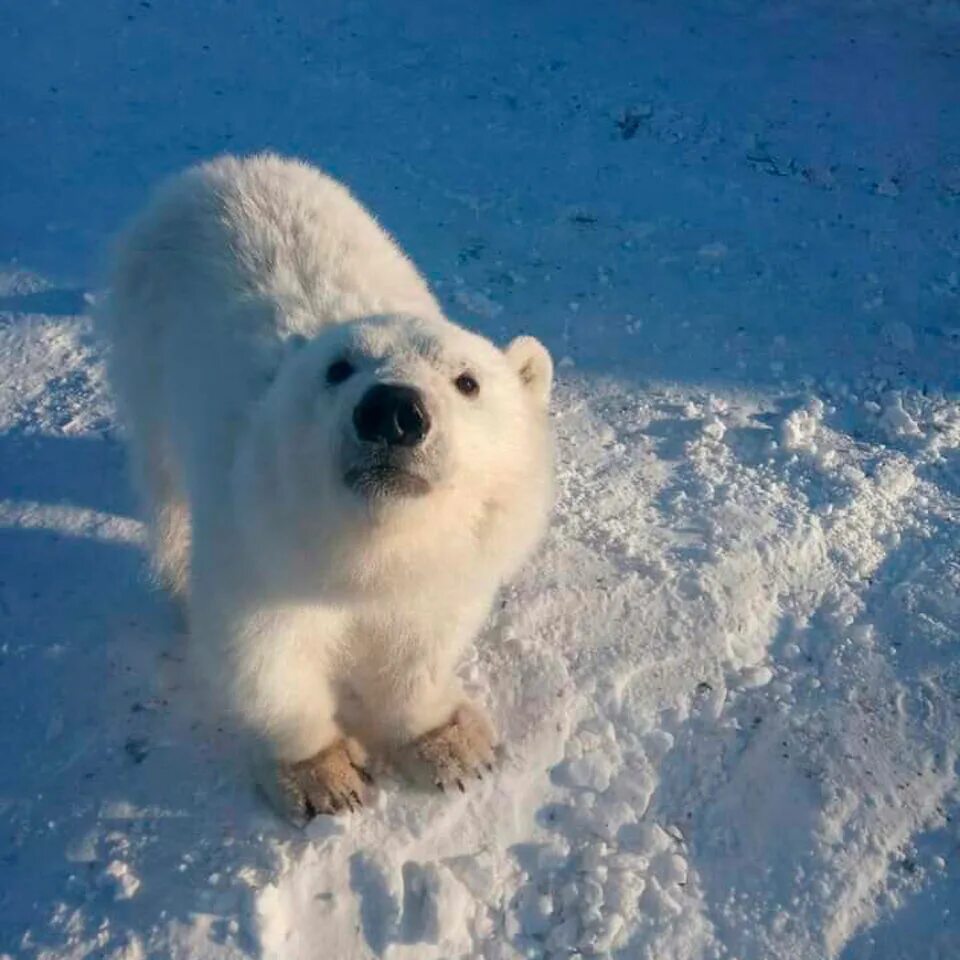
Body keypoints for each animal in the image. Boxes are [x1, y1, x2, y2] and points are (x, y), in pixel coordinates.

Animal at [97, 154, 556, 820]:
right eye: (337, 368)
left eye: (467, 381)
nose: (393, 412)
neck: (365, 550)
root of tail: (217, 168)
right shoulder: (260, 549)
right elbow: (265, 658)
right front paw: (322, 777)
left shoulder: (444, 566)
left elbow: (420, 646)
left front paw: (452, 745)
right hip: (146, 352)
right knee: (165, 487)